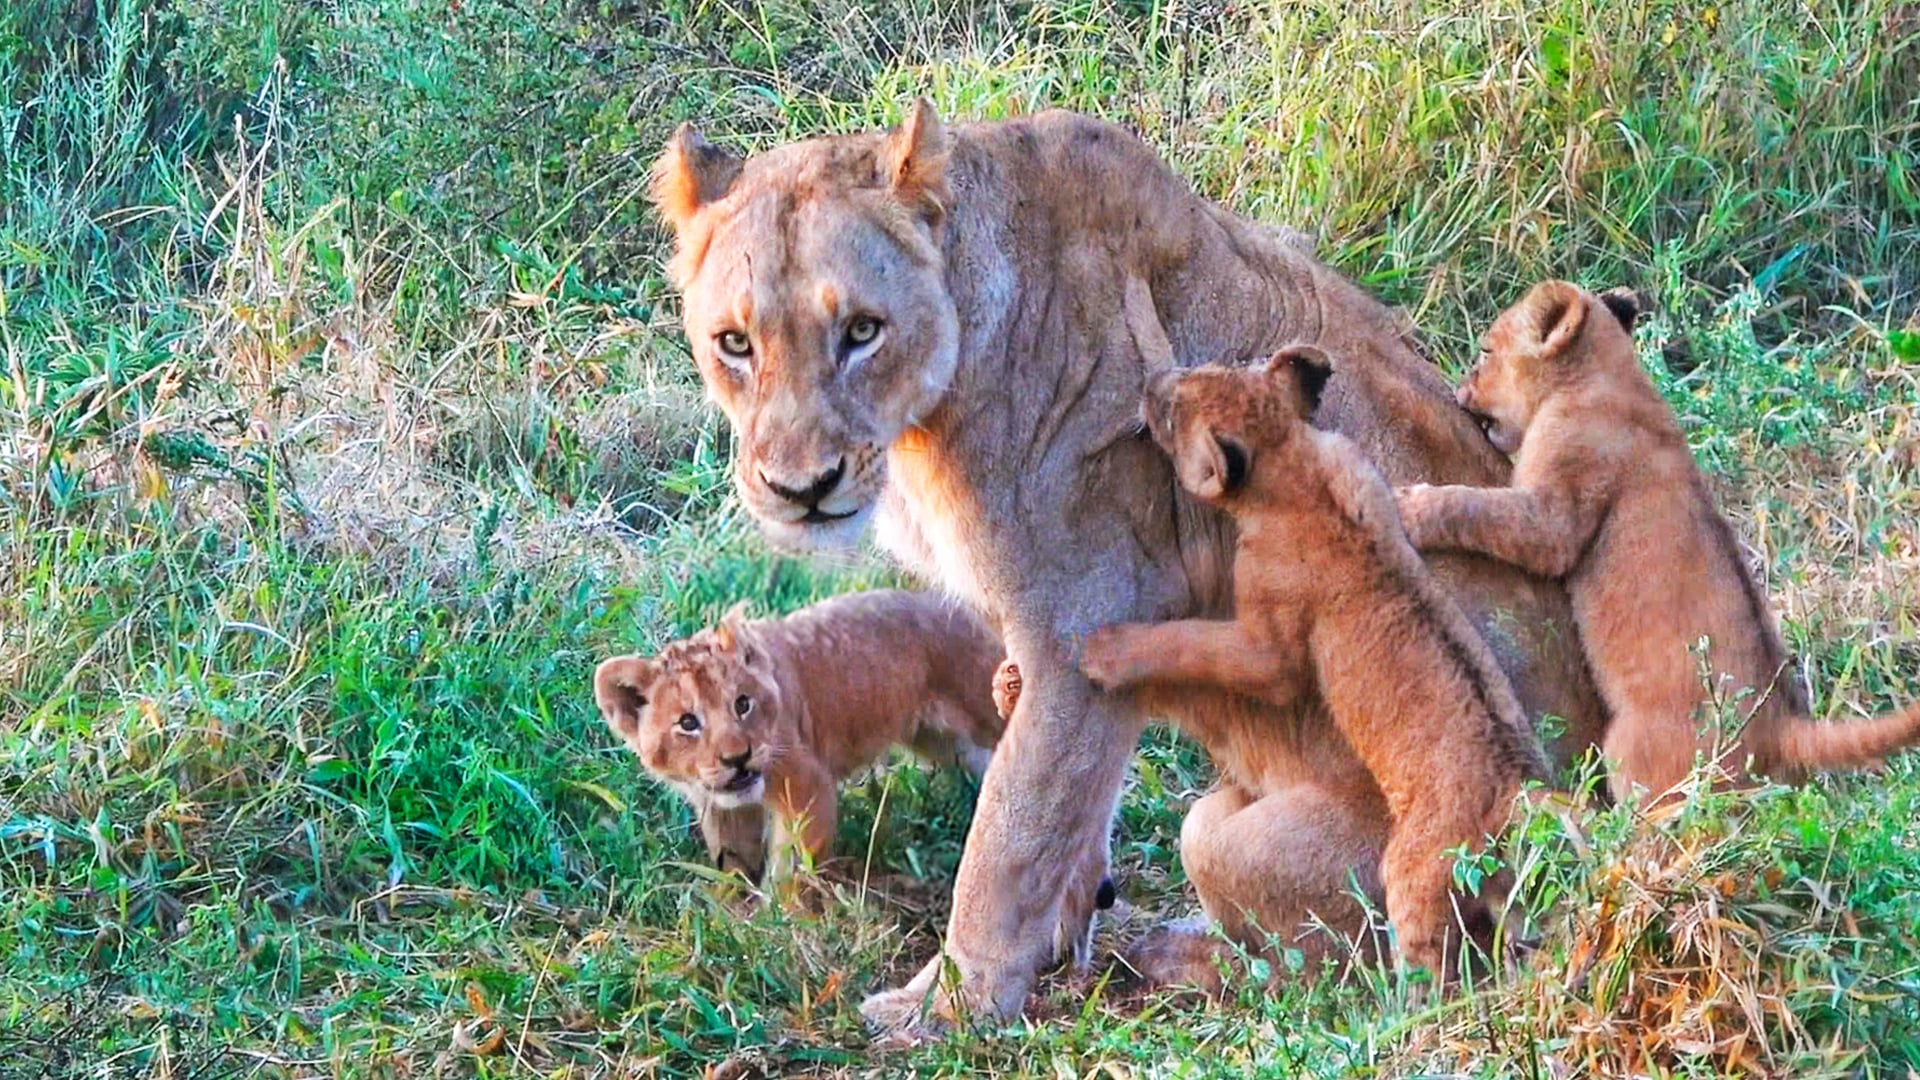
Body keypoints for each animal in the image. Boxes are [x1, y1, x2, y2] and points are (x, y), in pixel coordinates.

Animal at [593, 590, 1006, 881]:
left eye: (742, 704)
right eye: (688, 723)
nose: (737, 758)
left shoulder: (808, 786)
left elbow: (793, 868)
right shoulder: (723, 810)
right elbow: (733, 864)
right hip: (944, 743)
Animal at [1072, 347, 1547, 977]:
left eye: (1172, 411)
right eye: (1204, 369)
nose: (1150, 383)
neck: (1293, 463)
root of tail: (1514, 794)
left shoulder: (1268, 652)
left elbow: (1190, 642)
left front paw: (1102, 650)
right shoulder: (1364, 474)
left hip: (1408, 873)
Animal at [1396, 280, 1920, 803]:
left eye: (1486, 351)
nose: (1459, 387)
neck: (1606, 375)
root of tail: (1780, 726)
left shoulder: (1557, 516)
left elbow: (1475, 508)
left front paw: (1411, 506)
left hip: (1634, 749)